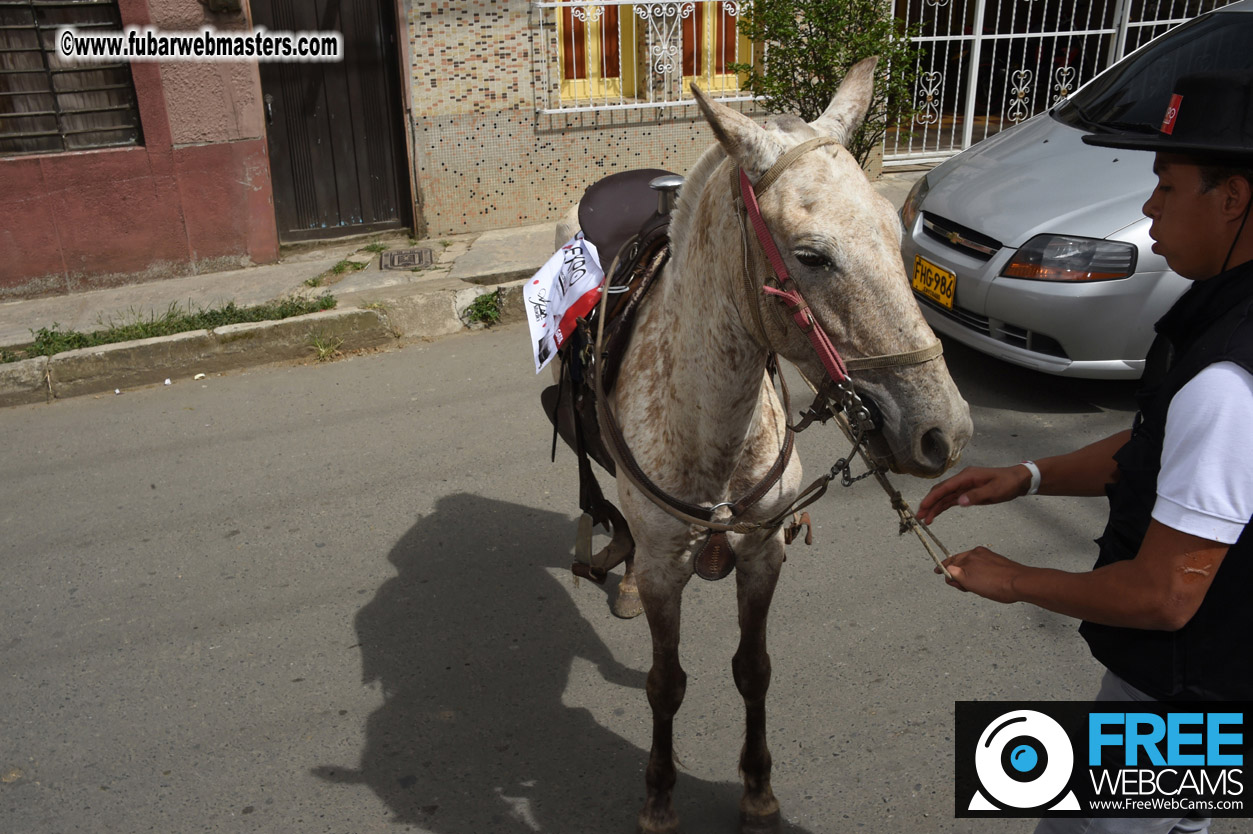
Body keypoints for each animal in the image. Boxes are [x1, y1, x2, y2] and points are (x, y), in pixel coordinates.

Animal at [553, 55, 972, 826]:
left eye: (894, 233)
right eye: (811, 256)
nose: (943, 431)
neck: (713, 433)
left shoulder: (762, 554)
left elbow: (753, 670)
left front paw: (756, 791)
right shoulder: (666, 570)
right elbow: (665, 681)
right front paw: (659, 798)